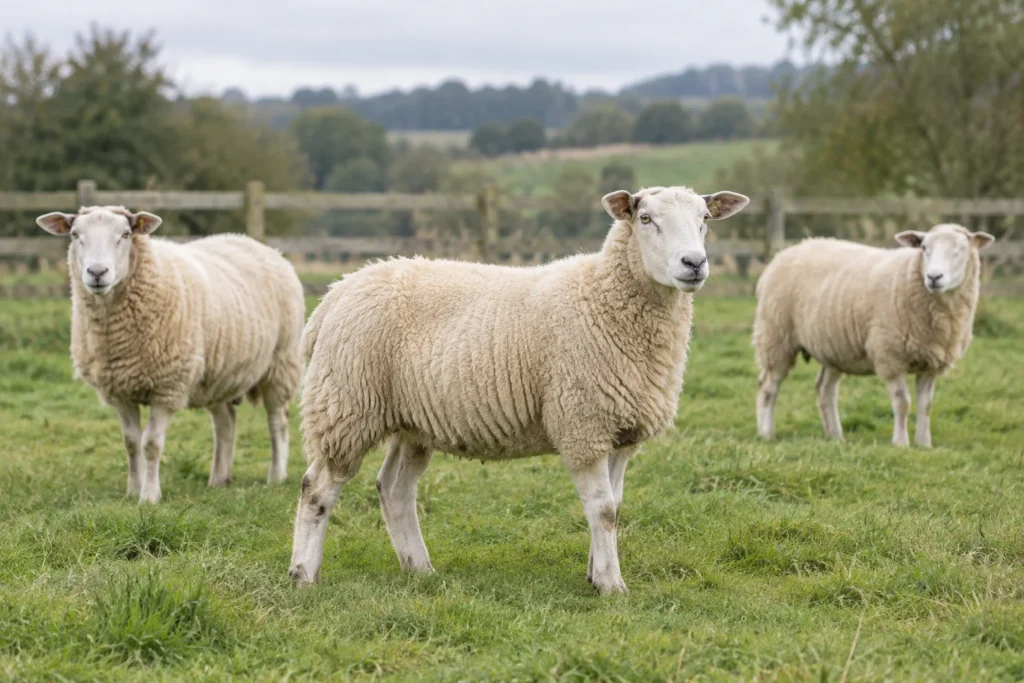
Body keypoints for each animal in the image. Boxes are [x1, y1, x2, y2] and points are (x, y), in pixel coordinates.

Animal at [35, 206, 305, 503]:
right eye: (75, 235)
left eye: (126, 234)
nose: (97, 272)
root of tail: (253, 242)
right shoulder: (119, 390)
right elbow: (131, 443)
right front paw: (133, 490)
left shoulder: (167, 386)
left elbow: (151, 444)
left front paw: (149, 496)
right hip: (216, 374)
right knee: (225, 422)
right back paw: (219, 479)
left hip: (281, 362)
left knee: (277, 421)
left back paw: (276, 476)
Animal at [288, 186, 750, 594]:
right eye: (646, 219)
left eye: (704, 219)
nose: (694, 263)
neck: (604, 295)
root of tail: (336, 293)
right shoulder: (583, 424)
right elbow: (602, 509)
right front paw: (612, 585)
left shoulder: (620, 431)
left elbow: (614, 508)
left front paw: (596, 573)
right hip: (345, 404)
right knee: (318, 488)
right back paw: (303, 574)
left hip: (411, 421)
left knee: (395, 489)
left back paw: (419, 568)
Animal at [753, 224, 995, 447]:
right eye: (924, 247)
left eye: (961, 249)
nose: (934, 277)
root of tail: (792, 248)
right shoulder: (890, 355)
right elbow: (902, 403)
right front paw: (901, 443)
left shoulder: (931, 363)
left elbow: (926, 406)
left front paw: (924, 444)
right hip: (775, 336)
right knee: (768, 386)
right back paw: (766, 433)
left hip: (833, 347)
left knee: (825, 389)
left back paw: (835, 436)